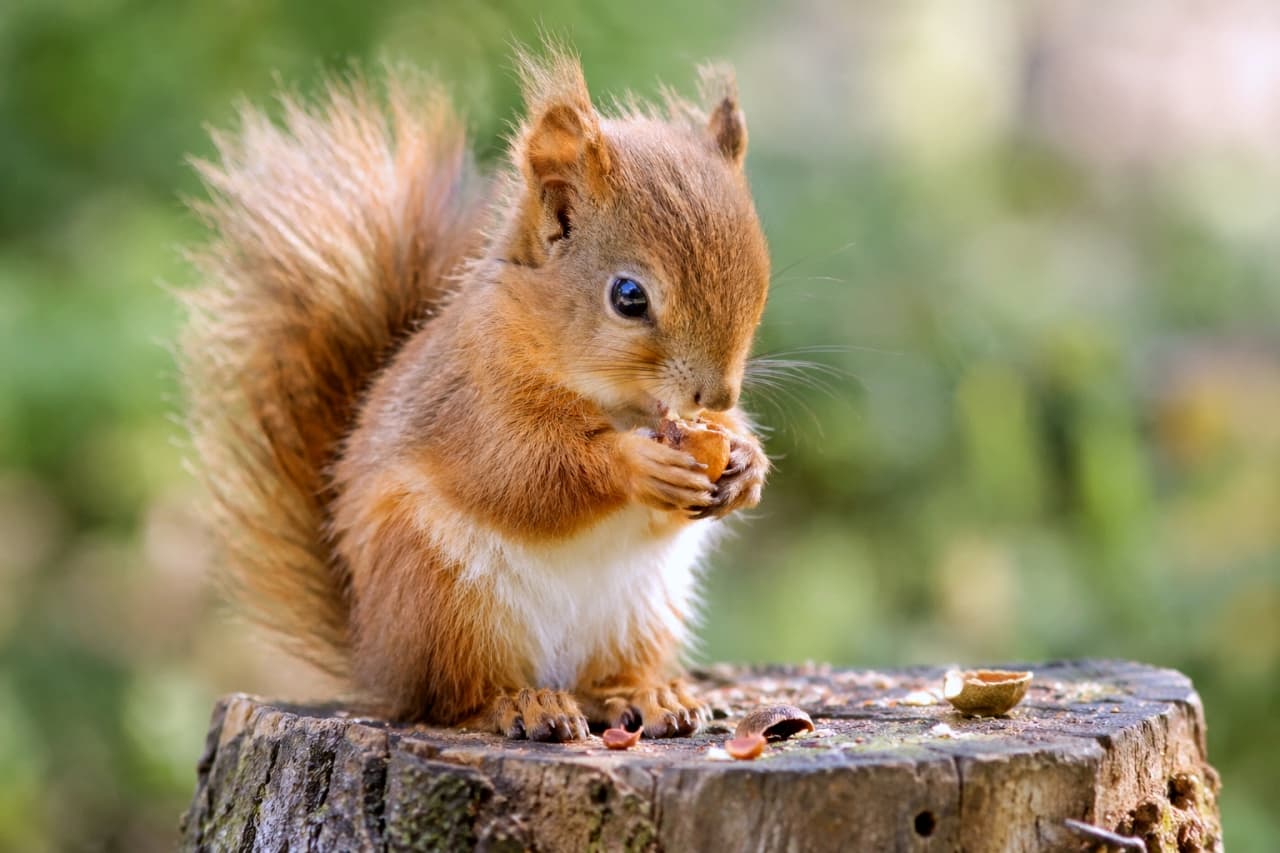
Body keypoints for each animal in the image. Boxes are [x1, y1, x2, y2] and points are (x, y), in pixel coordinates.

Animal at [181, 46, 771, 741]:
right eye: (628, 297)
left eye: (761, 278)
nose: (716, 395)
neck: (613, 400)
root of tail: (378, 658)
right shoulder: (475, 401)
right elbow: (523, 471)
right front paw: (636, 463)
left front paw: (744, 464)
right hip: (442, 600)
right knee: (453, 700)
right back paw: (523, 704)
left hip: (639, 612)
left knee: (602, 683)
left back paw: (650, 696)